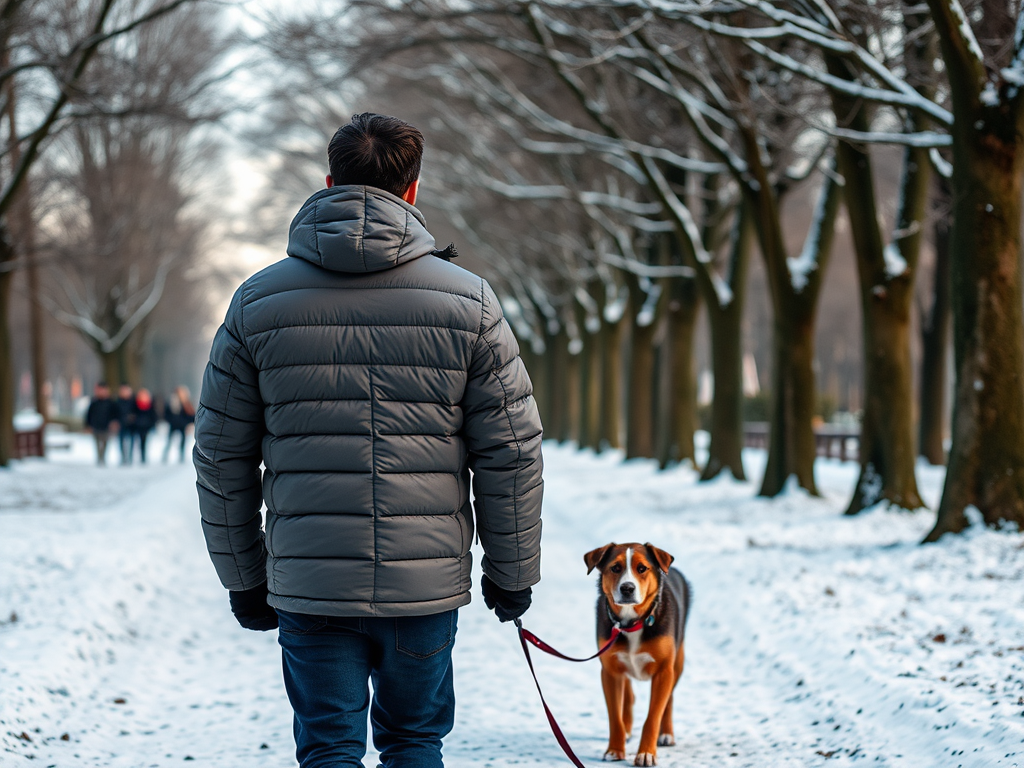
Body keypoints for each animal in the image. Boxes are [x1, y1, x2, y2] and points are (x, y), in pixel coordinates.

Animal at [589, 544, 692, 765]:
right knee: (628, 692)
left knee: (669, 699)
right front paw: (615, 750)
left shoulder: (664, 671)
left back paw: (666, 733)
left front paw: (646, 753)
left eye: (642, 568)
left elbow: (653, 716)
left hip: (677, 662)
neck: (632, 622)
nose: (627, 588)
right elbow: (615, 717)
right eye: (615, 568)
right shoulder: (609, 671)